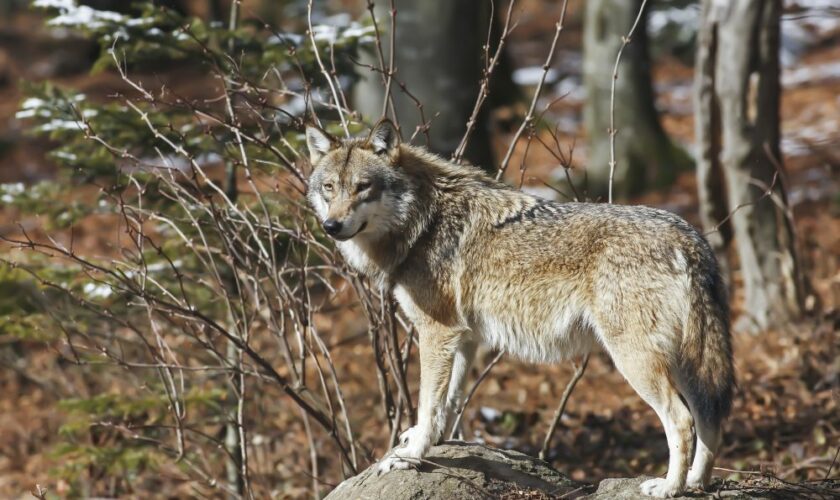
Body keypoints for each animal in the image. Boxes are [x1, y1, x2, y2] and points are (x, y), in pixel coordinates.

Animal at [306, 120, 732, 496]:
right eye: (329, 187)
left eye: (363, 187)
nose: (331, 226)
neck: (422, 222)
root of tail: (690, 236)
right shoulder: (463, 338)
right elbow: (449, 403)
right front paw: (433, 442)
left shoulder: (436, 333)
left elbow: (428, 403)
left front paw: (410, 455)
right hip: (685, 361)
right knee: (709, 417)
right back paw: (697, 483)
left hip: (636, 360)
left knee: (681, 421)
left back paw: (670, 488)